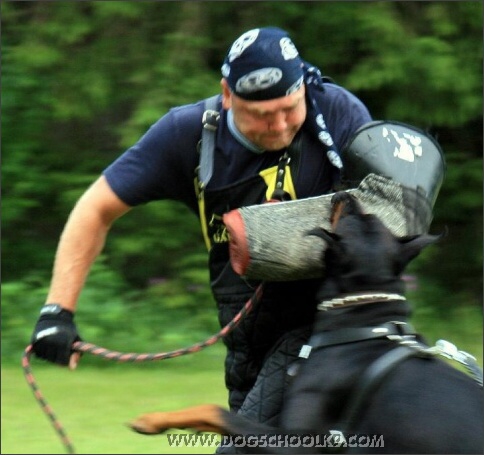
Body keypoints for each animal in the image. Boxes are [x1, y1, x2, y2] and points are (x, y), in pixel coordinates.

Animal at [130, 193, 482, 455]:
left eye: (351, 217)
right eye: (366, 217)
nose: (345, 195)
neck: (363, 323)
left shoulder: (306, 443)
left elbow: (214, 411)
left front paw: (152, 419)